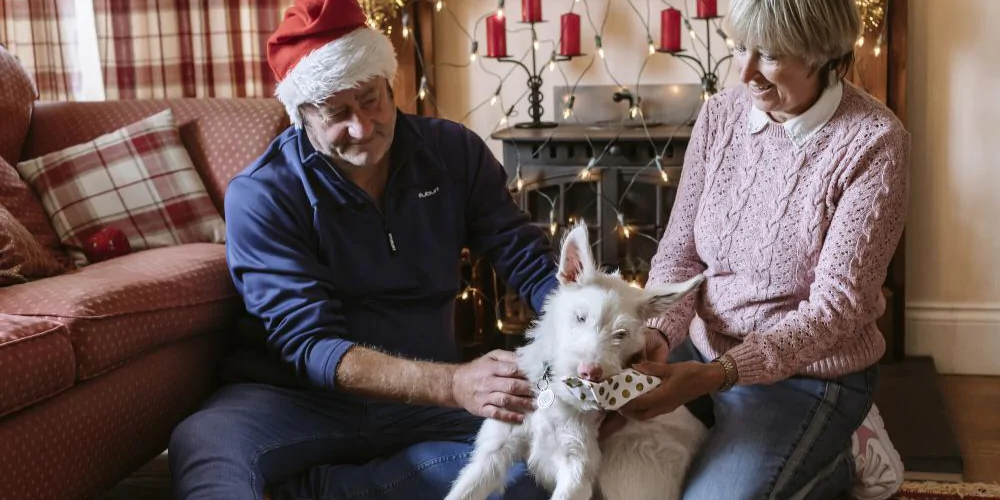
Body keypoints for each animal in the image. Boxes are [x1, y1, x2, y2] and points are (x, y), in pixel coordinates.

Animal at [446, 224, 712, 500]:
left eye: (621, 334)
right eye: (581, 317)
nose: (589, 372)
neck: (552, 392)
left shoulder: (577, 467)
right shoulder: (494, 451)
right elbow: (463, 491)